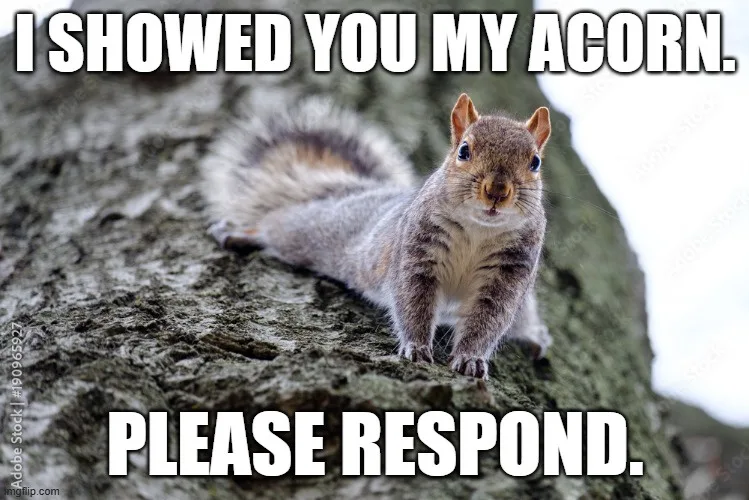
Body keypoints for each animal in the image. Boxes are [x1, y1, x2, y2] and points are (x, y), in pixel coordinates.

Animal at [202, 92, 552, 379]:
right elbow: (413, 302)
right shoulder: (416, 253)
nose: (497, 191)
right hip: (310, 231)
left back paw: (533, 336)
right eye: (464, 151)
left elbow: (487, 321)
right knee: (275, 224)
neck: (479, 229)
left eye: (535, 162)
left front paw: (470, 359)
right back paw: (241, 233)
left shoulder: (508, 274)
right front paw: (416, 348)